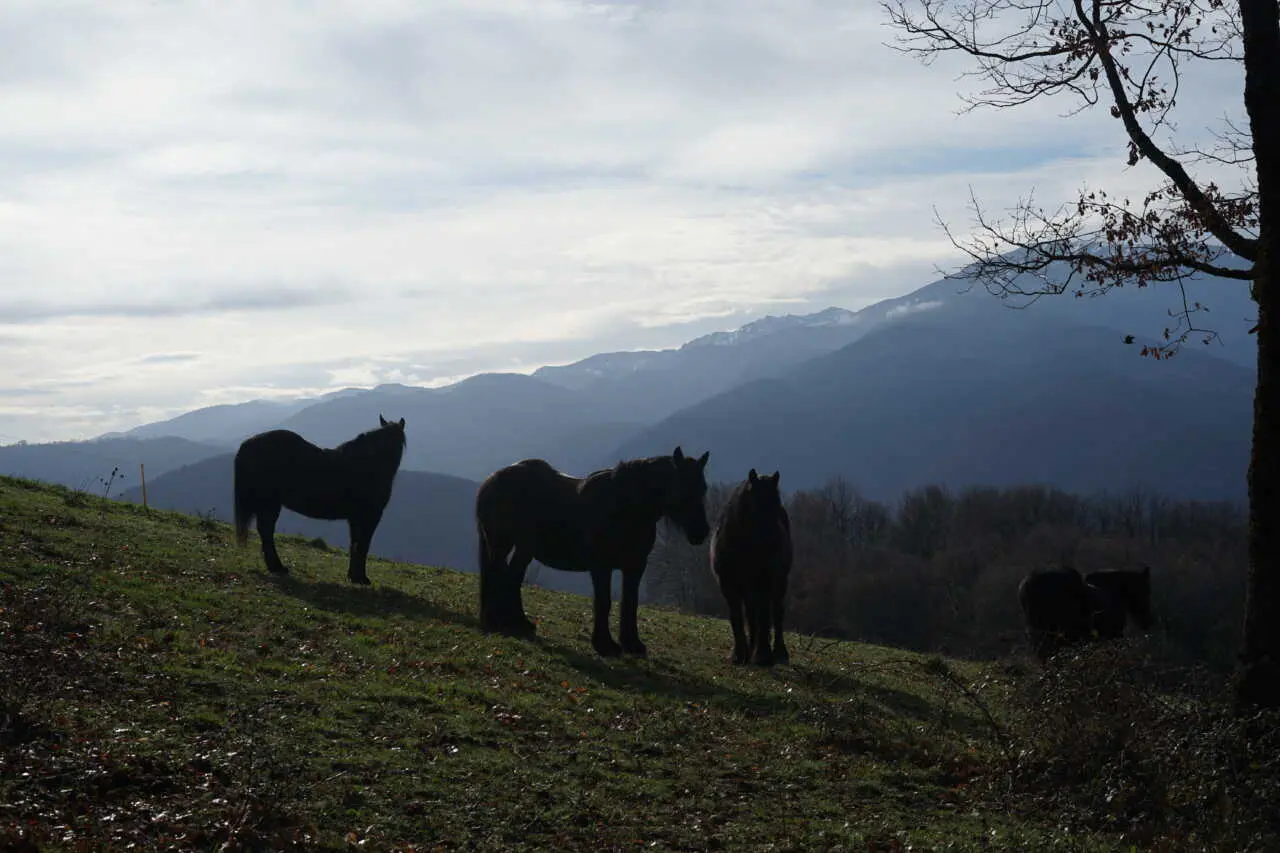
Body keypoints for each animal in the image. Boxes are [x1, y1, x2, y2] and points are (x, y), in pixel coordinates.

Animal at [233, 415, 407, 585]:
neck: (369, 466)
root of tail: (249, 443)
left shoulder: (355, 518)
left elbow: (355, 544)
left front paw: (353, 576)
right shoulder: (369, 517)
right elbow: (363, 545)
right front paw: (361, 578)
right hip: (270, 504)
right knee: (266, 530)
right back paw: (277, 567)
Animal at [475, 446, 711, 658]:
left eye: (703, 488)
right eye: (683, 487)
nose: (701, 533)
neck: (625, 506)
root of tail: (490, 481)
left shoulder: (635, 566)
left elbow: (630, 603)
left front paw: (632, 644)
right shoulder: (601, 567)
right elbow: (603, 602)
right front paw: (605, 645)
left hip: (522, 549)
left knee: (512, 578)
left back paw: (519, 622)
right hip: (501, 545)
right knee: (499, 575)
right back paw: (498, 620)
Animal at [710, 468, 793, 666]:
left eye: (777, 505)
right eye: (758, 505)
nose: (776, 544)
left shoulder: (764, 581)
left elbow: (764, 616)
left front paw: (763, 655)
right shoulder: (728, 585)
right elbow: (737, 617)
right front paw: (738, 655)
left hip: (778, 582)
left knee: (776, 612)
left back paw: (779, 653)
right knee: (751, 614)